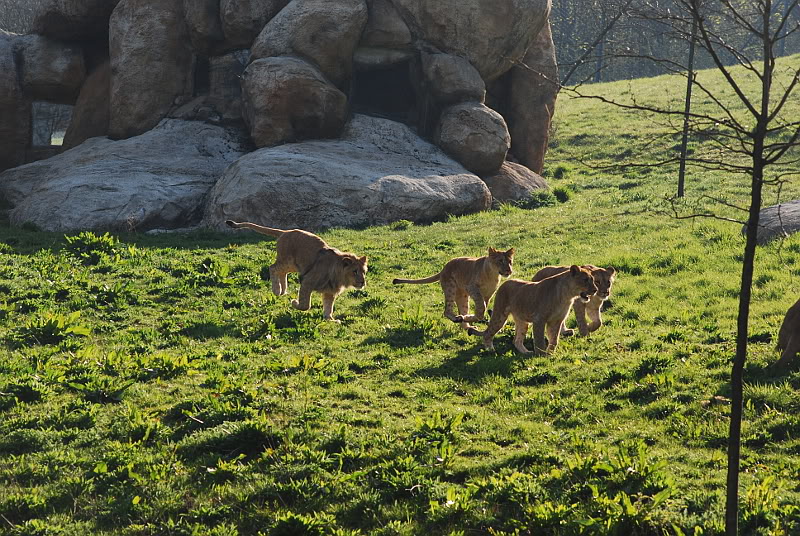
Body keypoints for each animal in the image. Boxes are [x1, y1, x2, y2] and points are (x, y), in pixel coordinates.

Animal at [226, 220, 367, 322]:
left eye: (364, 272)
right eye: (354, 271)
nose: (362, 282)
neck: (338, 275)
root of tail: (285, 231)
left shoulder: (329, 292)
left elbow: (328, 307)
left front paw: (330, 320)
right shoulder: (307, 282)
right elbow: (306, 305)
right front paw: (294, 303)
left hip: (294, 265)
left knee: (282, 272)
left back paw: (283, 291)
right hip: (287, 261)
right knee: (272, 268)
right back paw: (277, 290)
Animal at [468, 265, 597, 355]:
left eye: (592, 280)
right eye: (585, 280)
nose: (595, 290)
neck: (567, 295)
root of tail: (505, 282)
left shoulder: (556, 320)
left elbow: (554, 339)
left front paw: (550, 353)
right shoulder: (539, 319)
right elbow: (539, 339)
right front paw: (542, 355)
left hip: (522, 321)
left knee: (516, 340)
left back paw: (526, 353)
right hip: (500, 315)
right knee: (488, 334)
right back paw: (490, 350)